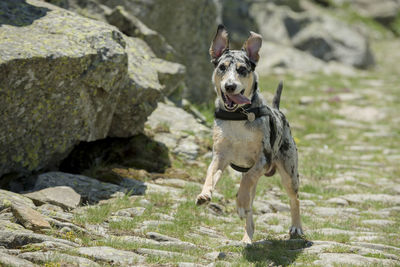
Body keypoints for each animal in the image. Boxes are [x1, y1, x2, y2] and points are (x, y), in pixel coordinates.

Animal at [195, 25, 304, 245]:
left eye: (242, 69)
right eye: (222, 67)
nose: (230, 86)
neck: (237, 116)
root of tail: (278, 110)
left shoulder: (263, 158)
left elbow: (247, 178)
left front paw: (239, 202)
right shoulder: (219, 156)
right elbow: (210, 174)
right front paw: (204, 194)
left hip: (289, 172)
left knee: (294, 198)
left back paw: (296, 227)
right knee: (251, 211)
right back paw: (247, 235)